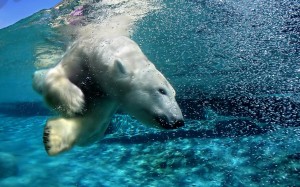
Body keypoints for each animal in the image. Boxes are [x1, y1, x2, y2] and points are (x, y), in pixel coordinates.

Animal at [32, 35, 183, 156]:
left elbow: (93, 123)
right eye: (161, 90)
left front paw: (52, 137)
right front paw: (74, 101)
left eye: (174, 94)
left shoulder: (107, 96)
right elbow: (57, 73)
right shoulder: (81, 56)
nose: (179, 121)